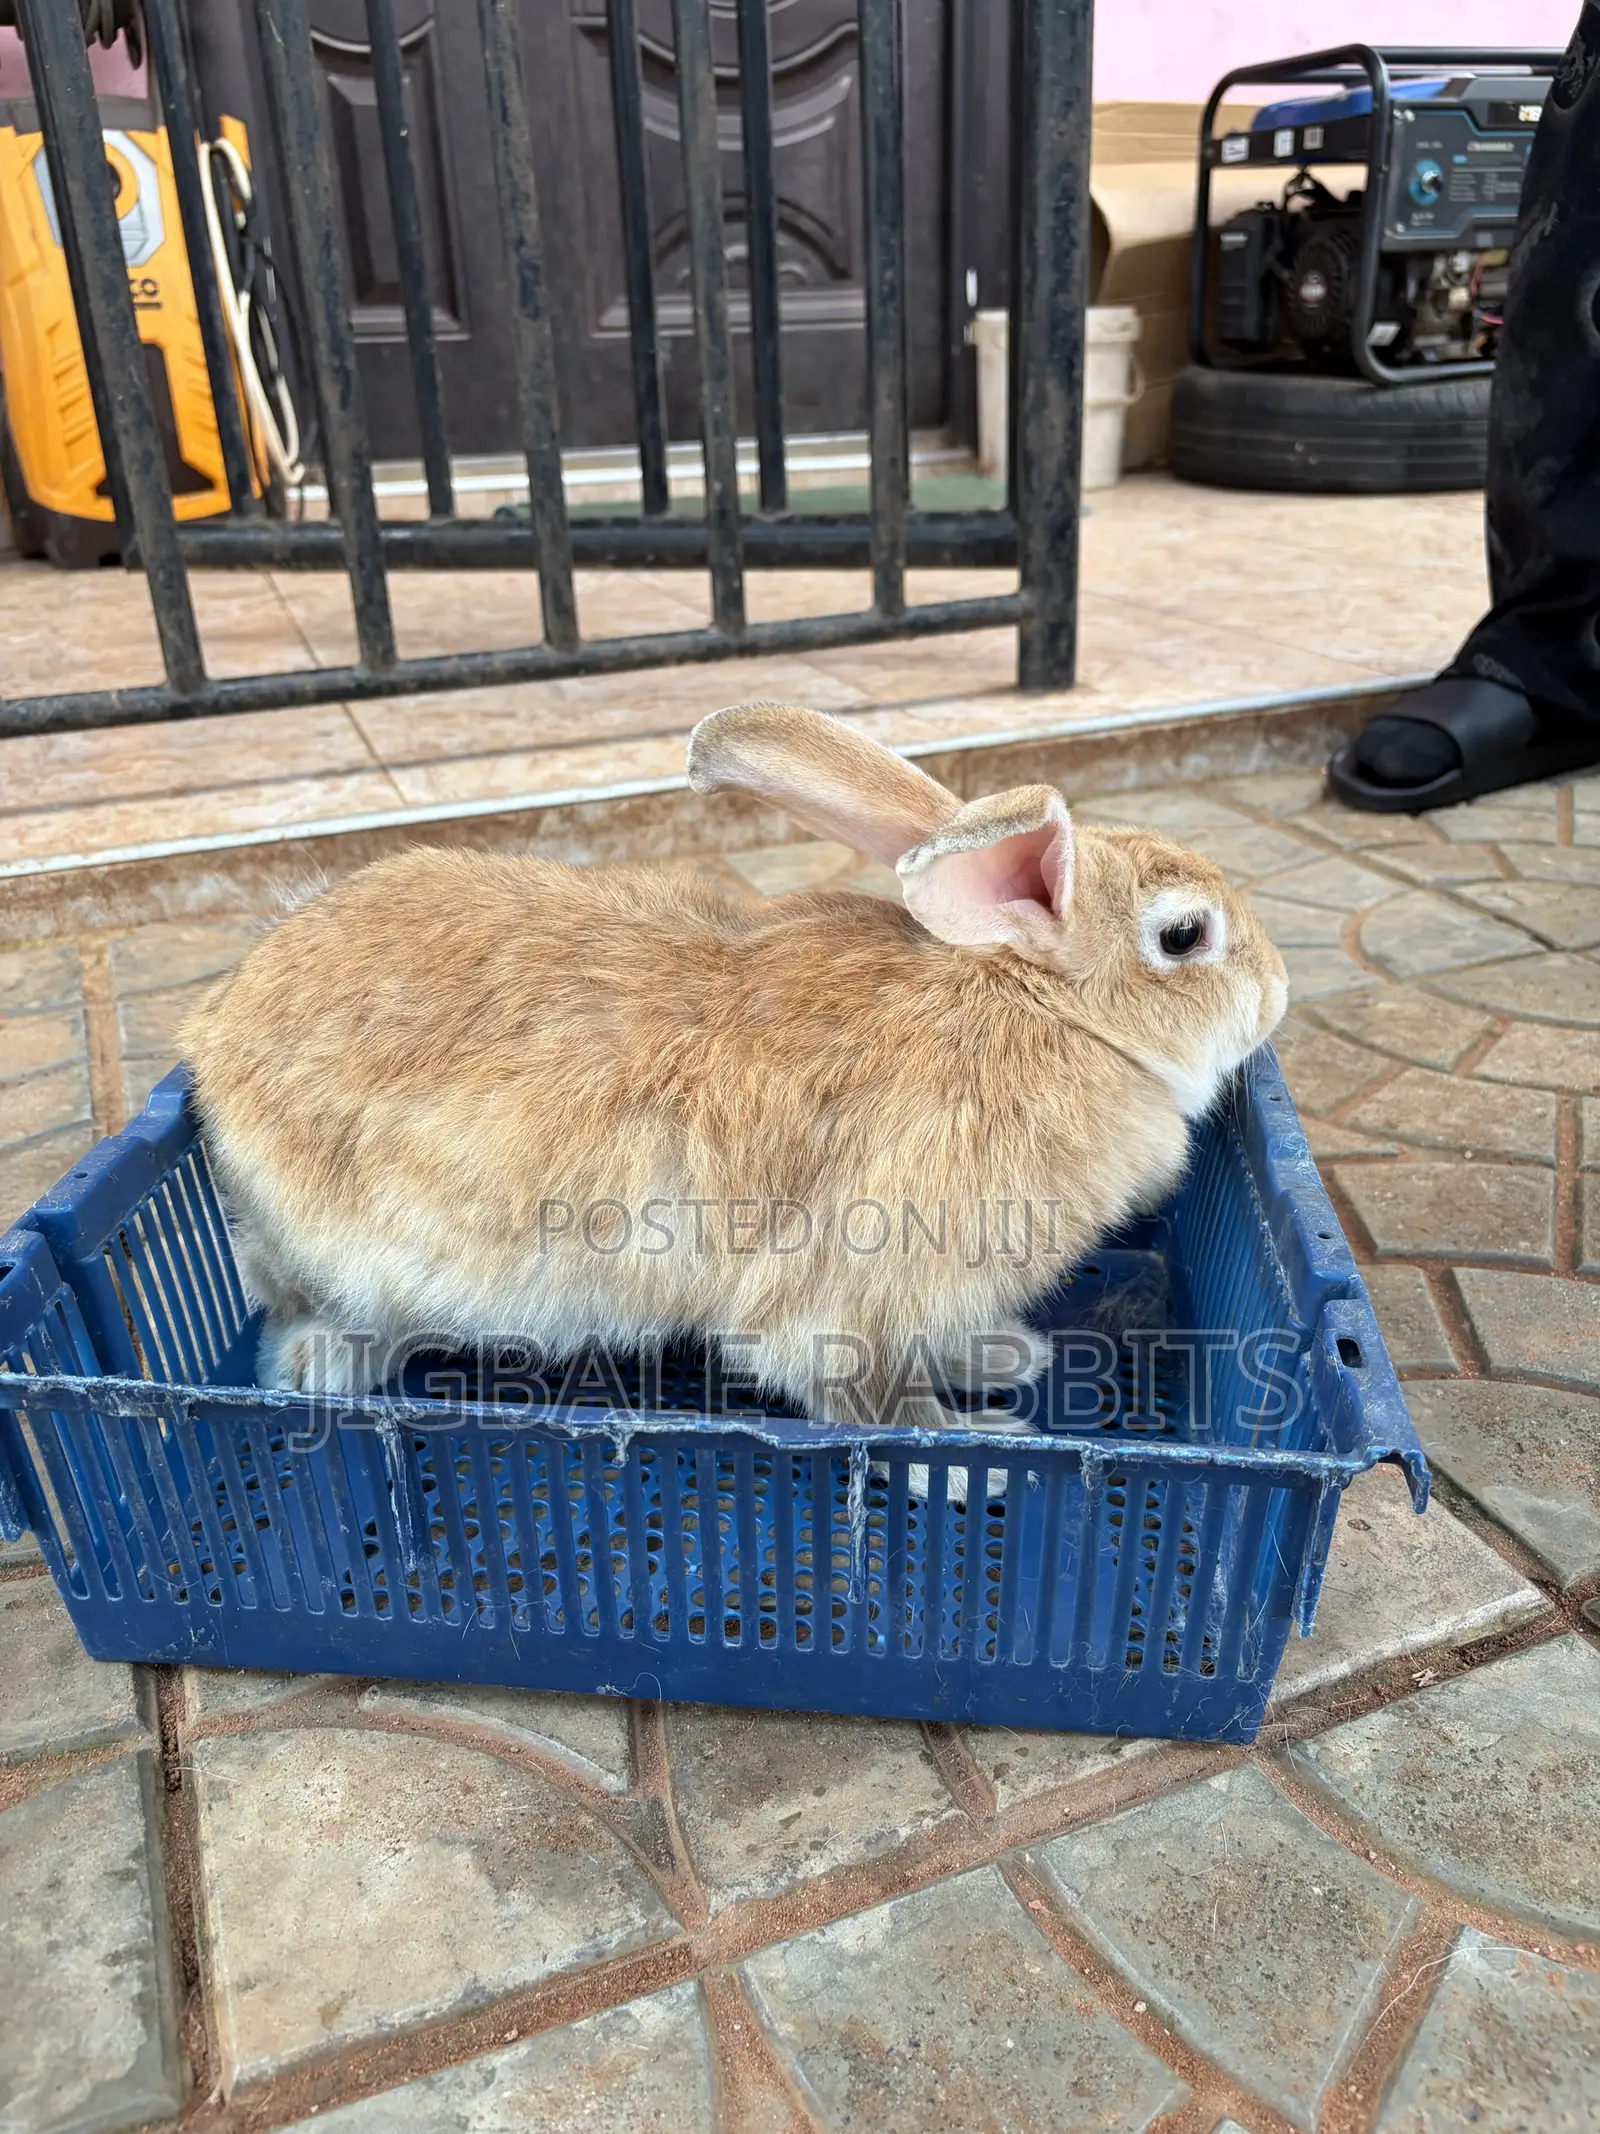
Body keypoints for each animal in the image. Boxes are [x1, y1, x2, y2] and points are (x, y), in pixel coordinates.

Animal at [181, 702, 1288, 1447]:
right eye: (1183, 937)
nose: (1277, 994)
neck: (1044, 1009)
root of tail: (213, 1036)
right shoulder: (849, 1290)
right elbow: (867, 1397)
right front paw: (972, 1445)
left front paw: (1007, 1357)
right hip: (358, 1267)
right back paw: (322, 1373)